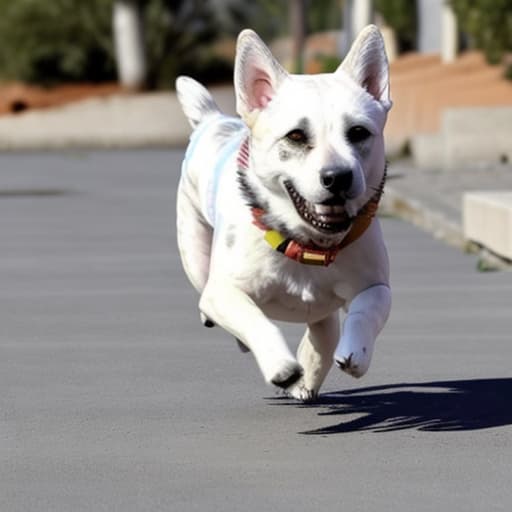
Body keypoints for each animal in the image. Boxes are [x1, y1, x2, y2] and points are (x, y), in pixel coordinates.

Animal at [175, 25, 392, 400]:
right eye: (296, 136)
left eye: (359, 132)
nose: (338, 176)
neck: (308, 243)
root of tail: (212, 120)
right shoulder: (222, 292)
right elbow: (254, 319)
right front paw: (281, 366)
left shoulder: (377, 285)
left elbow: (367, 310)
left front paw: (356, 353)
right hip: (196, 258)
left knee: (323, 333)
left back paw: (309, 379)